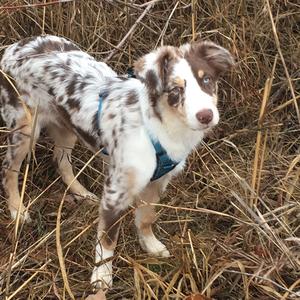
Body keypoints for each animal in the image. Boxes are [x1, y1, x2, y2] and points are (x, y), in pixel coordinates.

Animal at [0, 35, 233, 288]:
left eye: (207, 79)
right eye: (175, 89)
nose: (206, 116)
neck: (156, 128)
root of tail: (15, 47)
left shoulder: (156, 182)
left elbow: (146, 219)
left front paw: (151, 245)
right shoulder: (115, 192)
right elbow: (107, 239)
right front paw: (101, 276)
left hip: (67, 127)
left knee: (61, 162)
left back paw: (82, 193)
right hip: (24, 129)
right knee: (9, 171)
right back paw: (18, 211)